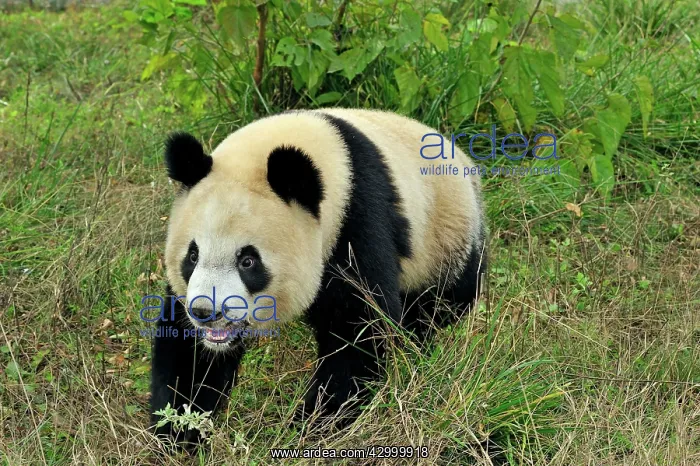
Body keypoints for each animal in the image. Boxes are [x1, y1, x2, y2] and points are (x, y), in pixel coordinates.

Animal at [150, 108, 487, 445]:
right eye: (193, 256)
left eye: (248, 261)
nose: (206, 312)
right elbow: (185, 346)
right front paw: (179, 427)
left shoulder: (358, 220)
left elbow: (358, 329)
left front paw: (311, 425)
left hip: (445, 238)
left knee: (442, 299)